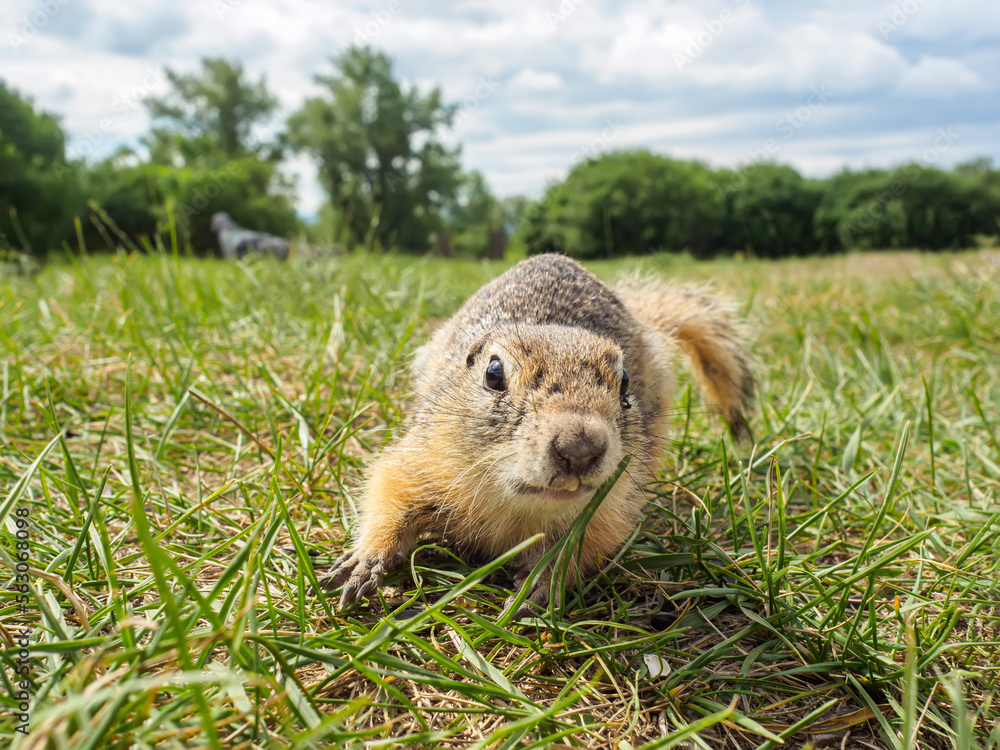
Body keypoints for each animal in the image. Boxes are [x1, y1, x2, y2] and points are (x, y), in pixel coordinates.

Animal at [320, 253, 752, 616]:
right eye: (493, 373)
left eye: (626, 382)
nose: (580, 449)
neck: (520, 508)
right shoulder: (422, 455)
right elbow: (388, 493)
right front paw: (364, 562)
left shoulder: (613, 506)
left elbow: (580, 547)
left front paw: (539, 587)